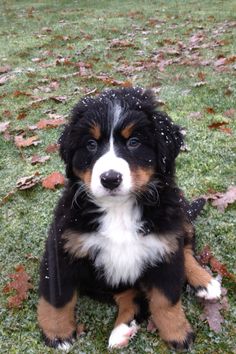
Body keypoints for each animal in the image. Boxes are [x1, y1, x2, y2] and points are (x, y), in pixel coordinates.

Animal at [37, 88, 221, 352]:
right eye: (91, 144)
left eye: (134, 142)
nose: (110, 179)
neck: (118, 209)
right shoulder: (63, 247)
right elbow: (58, 298)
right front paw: (58, 333)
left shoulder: (164, 247)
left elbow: (166, 300)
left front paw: (177, 333)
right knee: (129, 296)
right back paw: (123, 330)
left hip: (178, 217)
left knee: (185, 250)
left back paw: (205, 282)